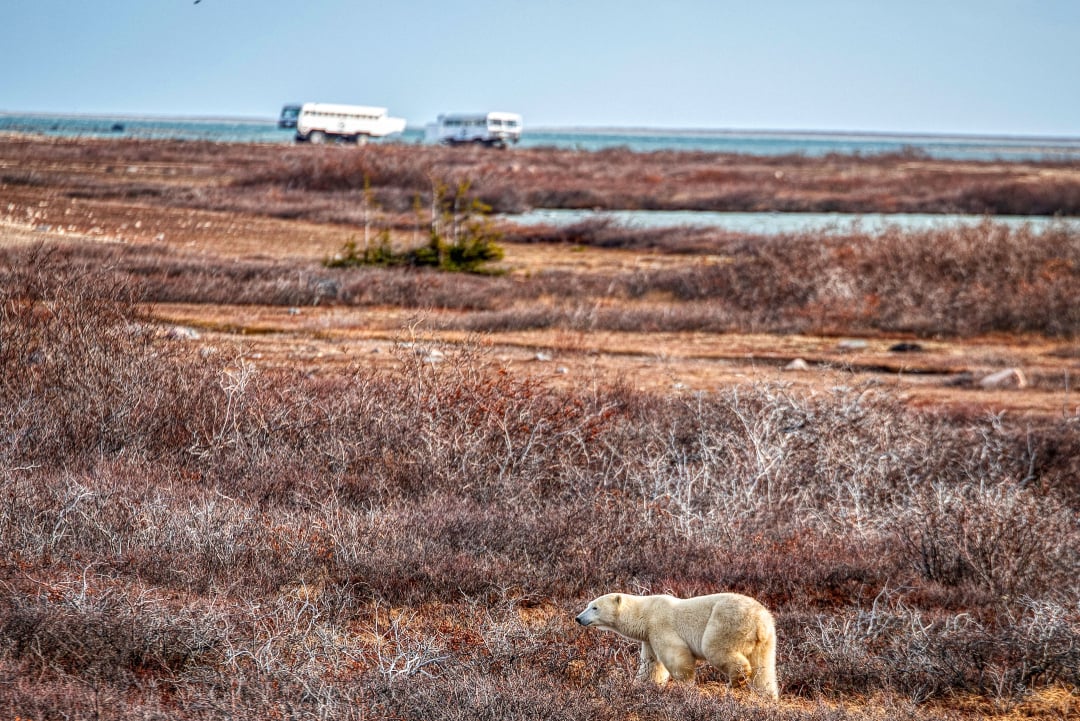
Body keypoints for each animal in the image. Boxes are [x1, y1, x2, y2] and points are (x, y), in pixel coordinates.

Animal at [574, 591, 777, 699]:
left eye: (594, 607)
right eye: (588, 605)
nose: (578, 618)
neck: (646, 612)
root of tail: (759, 621)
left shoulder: (660, 624)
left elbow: (676, 656)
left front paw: (685, 686)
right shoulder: (648, 637)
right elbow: (651, 665)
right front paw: (639, 685)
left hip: (727, 622)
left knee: (715, 648)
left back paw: (735, 682)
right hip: (766, 639)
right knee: (764, 668)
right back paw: (768, 695)